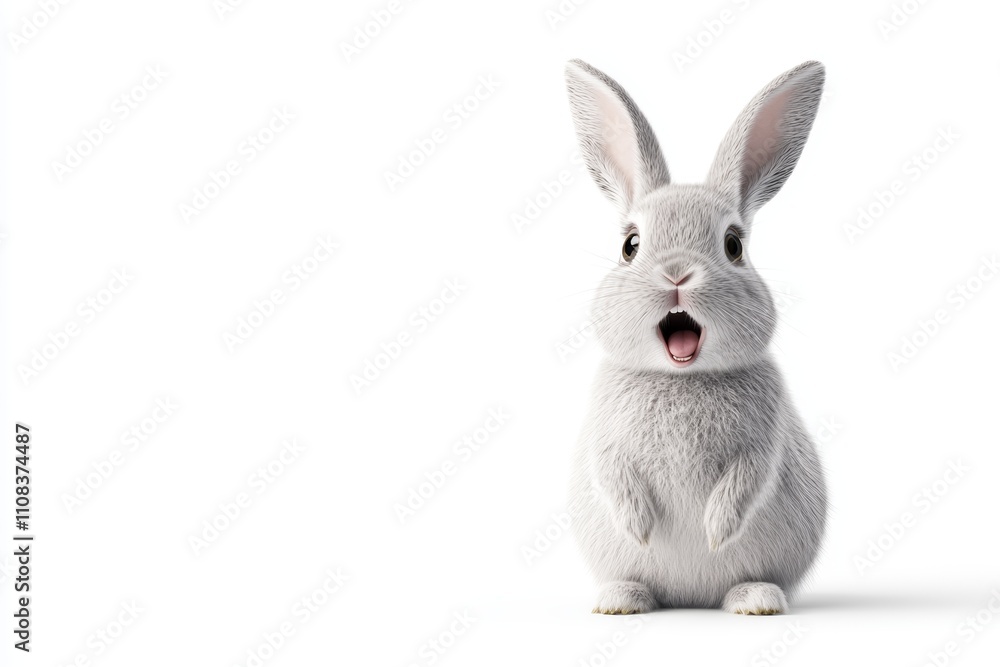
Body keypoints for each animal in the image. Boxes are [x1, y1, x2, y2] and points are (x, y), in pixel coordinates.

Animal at [564, 59, 827, 615]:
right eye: (630, 245)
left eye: (733, 246)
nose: (677, 273)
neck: (682, 377)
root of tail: (690, 598)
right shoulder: (604, 434)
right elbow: (613, 472)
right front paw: (640, 528)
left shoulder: (765, 439)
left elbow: (747, 478)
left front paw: (715, 531)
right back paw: (619, 600)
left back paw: (756, 600)